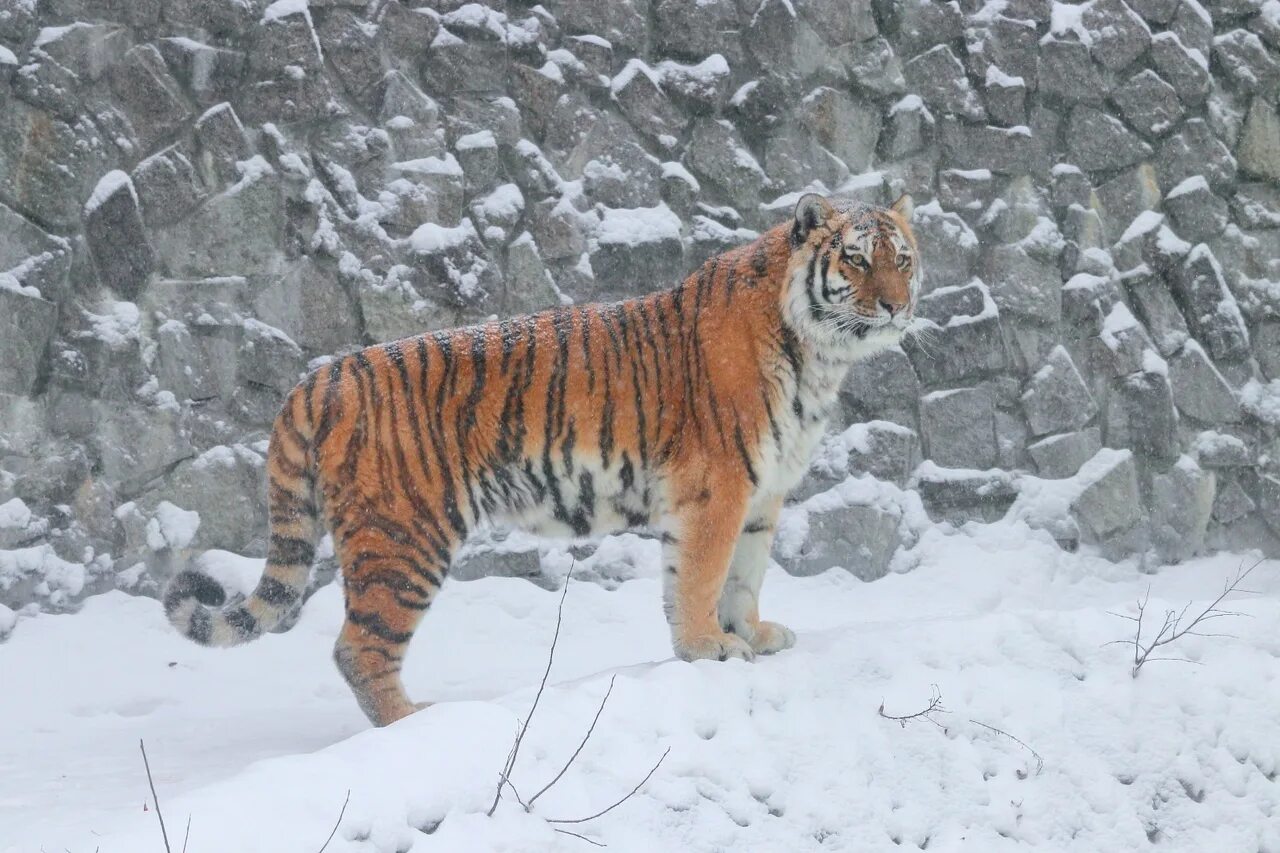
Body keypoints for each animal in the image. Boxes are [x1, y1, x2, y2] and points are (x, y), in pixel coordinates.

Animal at [165, 192, 921, 722]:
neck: (819, 355)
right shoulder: (719, 487)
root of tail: (319, 376)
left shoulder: (763, 494)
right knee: (360, 647)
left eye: (903, 258)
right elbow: (702, 575)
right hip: (404, 537)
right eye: (856, 258)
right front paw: (707, 647)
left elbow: (745, 574)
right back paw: (415, 720)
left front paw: (750, 634)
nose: (894, 304)